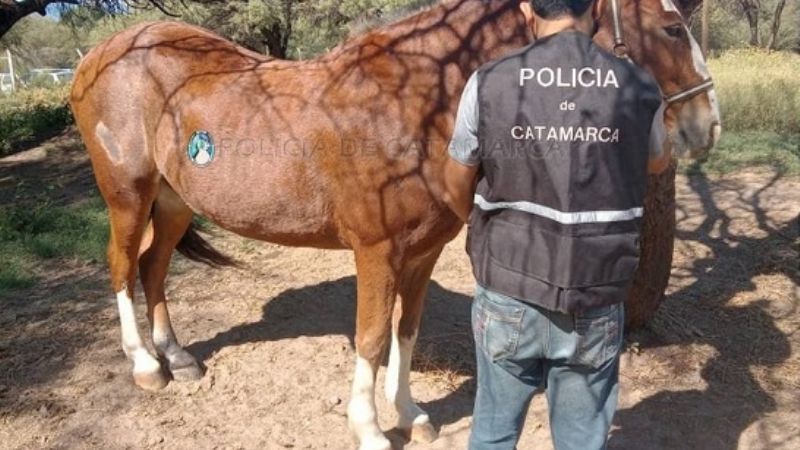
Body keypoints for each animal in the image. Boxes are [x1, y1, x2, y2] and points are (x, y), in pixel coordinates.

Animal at [69, 0, 720, 448]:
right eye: (671, 27)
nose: (706, 125)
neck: (414, 102)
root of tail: (97, 58)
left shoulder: (423, 252)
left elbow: (406, 333)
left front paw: (409, 414)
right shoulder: (376, 252)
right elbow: (373, 338)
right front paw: (370, 429)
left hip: (174, 200)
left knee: (153, 268)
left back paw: (177, 357)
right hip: (127, 195)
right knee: (122, 266)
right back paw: (146, 365)